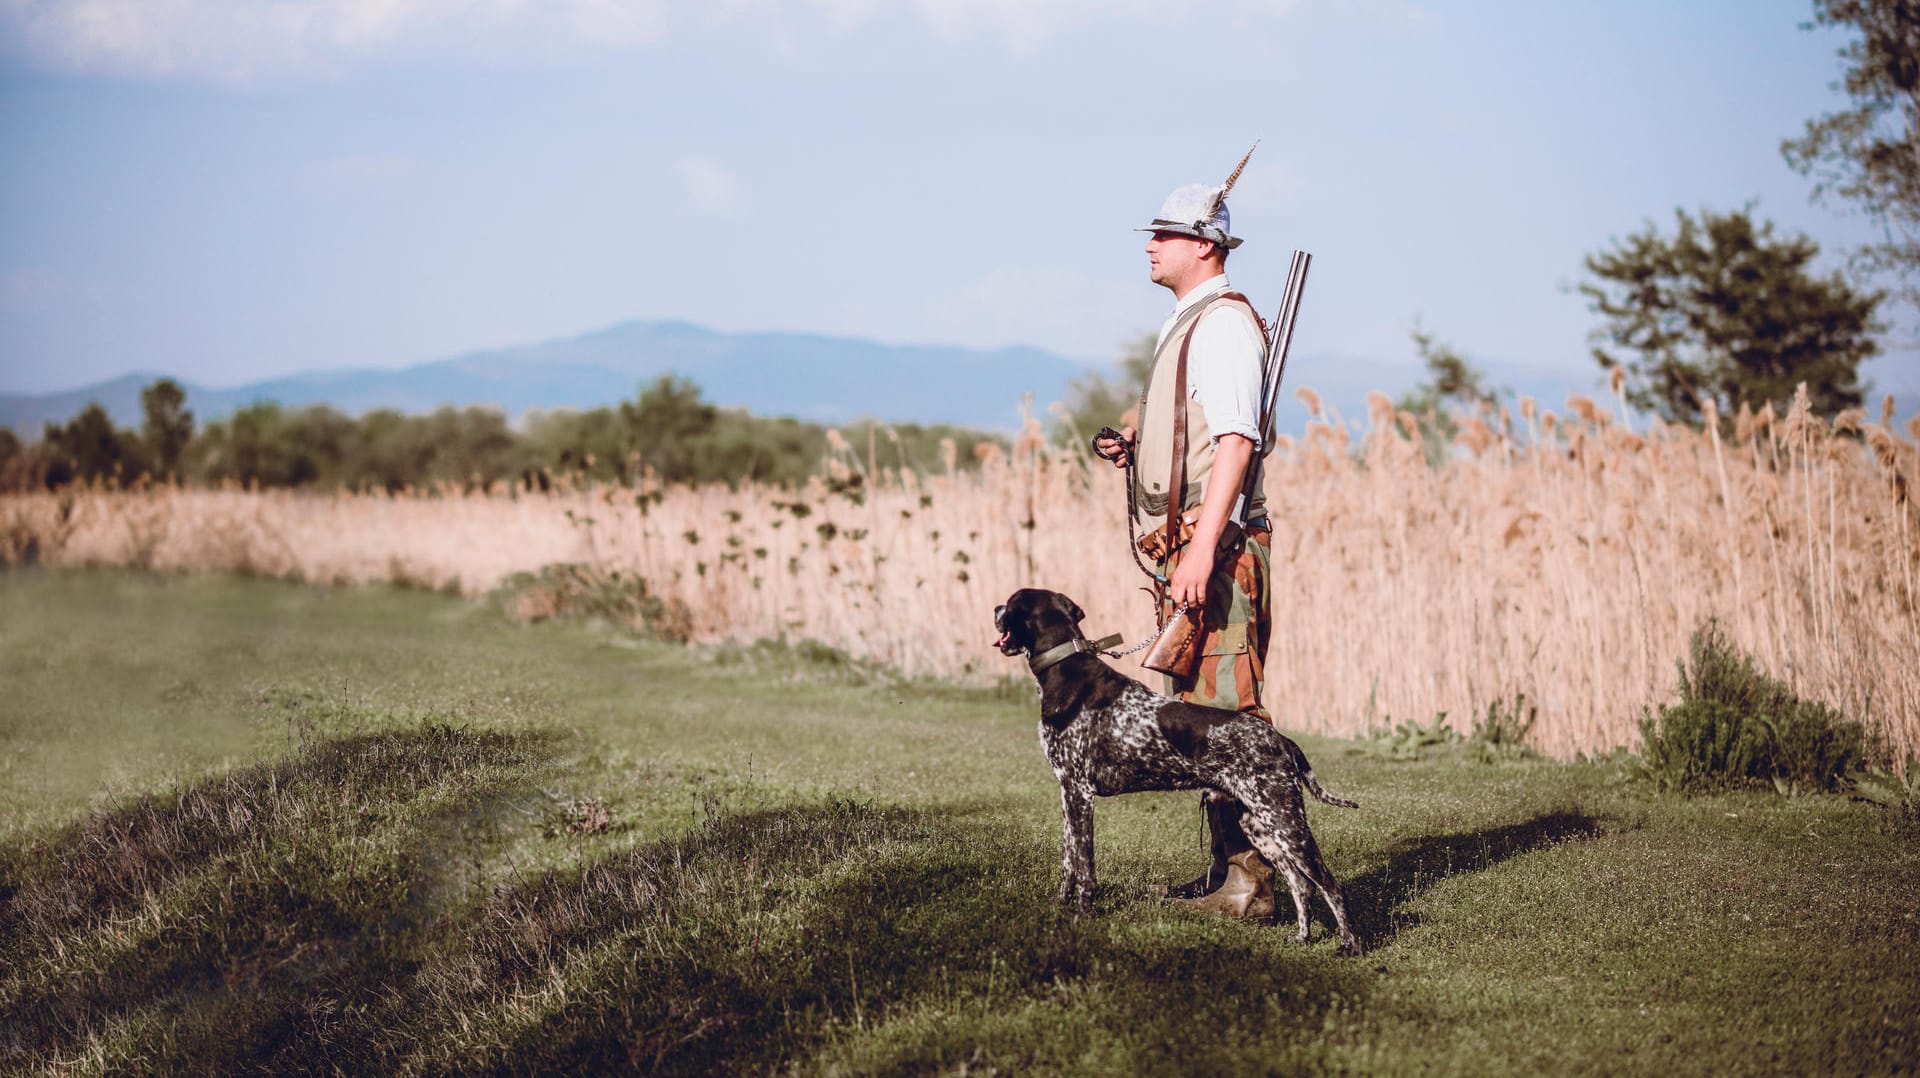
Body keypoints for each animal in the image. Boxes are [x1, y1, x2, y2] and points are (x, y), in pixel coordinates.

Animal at [990, 588, 1367, 949]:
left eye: (1010, 603)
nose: (995, 608)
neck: (1066, 673)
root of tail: (1280, 738)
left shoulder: (1080, 794)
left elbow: (1084, 867)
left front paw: (1082, 916)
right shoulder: (1067, 794)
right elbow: (1069, 860)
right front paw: (1061, 905)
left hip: (1284, 818)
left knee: (1329, 884)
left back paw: (1350, 945)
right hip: (1260, 823)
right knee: (1300, 883)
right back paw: (1302, 937)